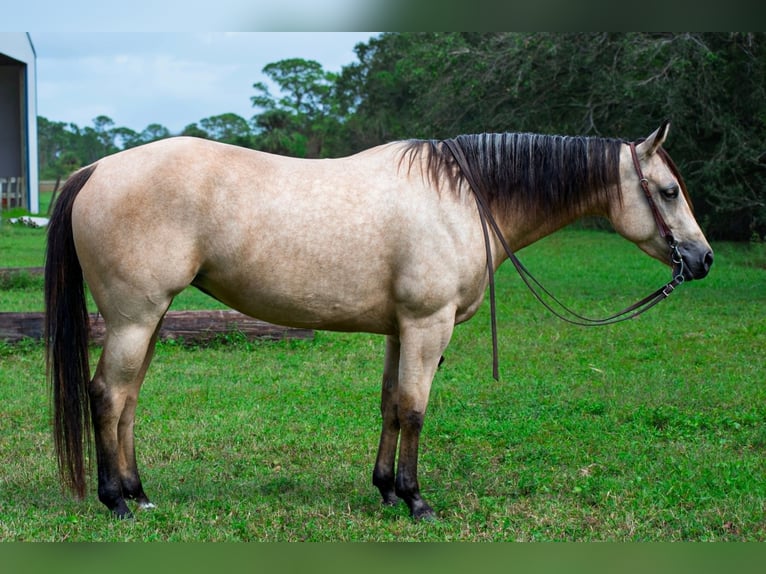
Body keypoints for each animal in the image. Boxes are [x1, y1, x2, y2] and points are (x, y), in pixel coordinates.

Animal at [43, 121, 712, 520]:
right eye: (669, 190)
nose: (702, 259)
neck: (461, 198)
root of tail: (97, 169)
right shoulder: (427, 325)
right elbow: (415, 408)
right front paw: (416, 500)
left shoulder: (401, 330)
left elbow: (391, 404)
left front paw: (387, 488)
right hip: (135, 318)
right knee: (107, 396)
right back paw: (115, 501)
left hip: (151, 320)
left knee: (129, 400)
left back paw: (140, 495)